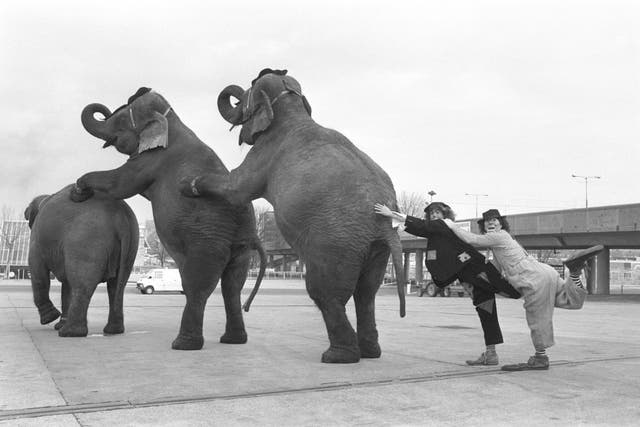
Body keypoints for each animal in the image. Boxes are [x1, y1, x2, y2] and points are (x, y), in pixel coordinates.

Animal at [24, 185, 139, 338]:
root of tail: (121, 216)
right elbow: (66, 284)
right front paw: (58, 323)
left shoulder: (37, 239)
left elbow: (37, 268)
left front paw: (51, 318)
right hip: (131, 242)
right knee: (117, 285)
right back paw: (113, 331)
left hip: (86, 240)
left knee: (81, 284)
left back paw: (69, 333)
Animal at [72, 87, 264, 352]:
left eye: (120, 121)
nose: (104, 110)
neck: (173, 121)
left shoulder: (152, 159)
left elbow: (121, 183)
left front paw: (78, 191)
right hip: (240, 248)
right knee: (232, 286)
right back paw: (232, 341)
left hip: (208, 241)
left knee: (198, 284)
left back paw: (183, 344)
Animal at [180, 70, 404, 364]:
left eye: (245, 97)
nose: (237, 104)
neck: (292, 109)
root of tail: (384, 219)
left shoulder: (263, 154)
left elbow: (236, 187)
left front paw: (186, 185)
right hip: (375, 248)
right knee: (366, 294)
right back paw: (369, 353)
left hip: (335, 244)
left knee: (326, 292)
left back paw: (336, 357)